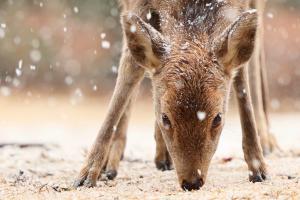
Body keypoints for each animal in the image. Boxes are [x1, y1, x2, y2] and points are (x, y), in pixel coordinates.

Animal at [73, 0, 278, 191]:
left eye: (218, 118)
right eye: (165, 118)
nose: (192, 182)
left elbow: (242, 78)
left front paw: (258, 168)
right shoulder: (137, 5)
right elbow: (129, 75)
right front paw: (86, 174)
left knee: (256, 49)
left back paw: (268, 142)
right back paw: (117, 162)